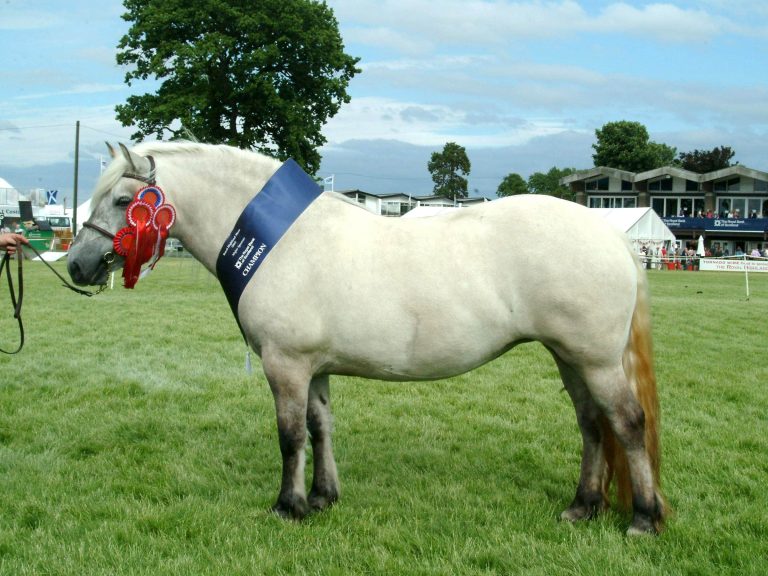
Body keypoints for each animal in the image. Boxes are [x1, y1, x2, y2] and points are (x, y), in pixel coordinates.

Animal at [68, 142, 666, 535]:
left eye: (122, 201)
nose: (77, 265)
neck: (279, 240)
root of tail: (612, 237)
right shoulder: (314, 368)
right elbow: (320, 428)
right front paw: (322, 498)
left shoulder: (285, 365)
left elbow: (290, 437)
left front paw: (287, 507)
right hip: (570, 358)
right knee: (592, 426)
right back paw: (582, 506)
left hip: (595, 360)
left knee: (626, 424)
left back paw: (643, 518)